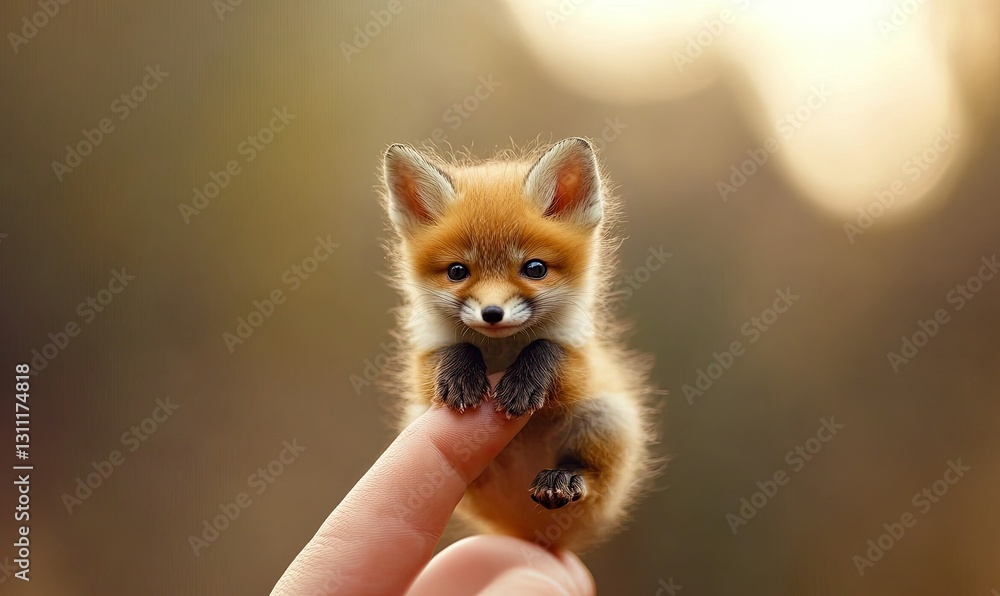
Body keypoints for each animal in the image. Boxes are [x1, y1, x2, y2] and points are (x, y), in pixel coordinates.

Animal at [379, 137, 658, 551]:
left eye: (535, 269)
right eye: (457, 271)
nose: (492, 313)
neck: (502, 352)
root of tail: (536, 535)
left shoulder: (582, 357)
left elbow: (547, 348)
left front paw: (522, 384)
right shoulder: (422, 362)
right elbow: (453, 351)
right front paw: (462, 378)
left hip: (606, 416)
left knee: (592, 483)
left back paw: (563, 478)